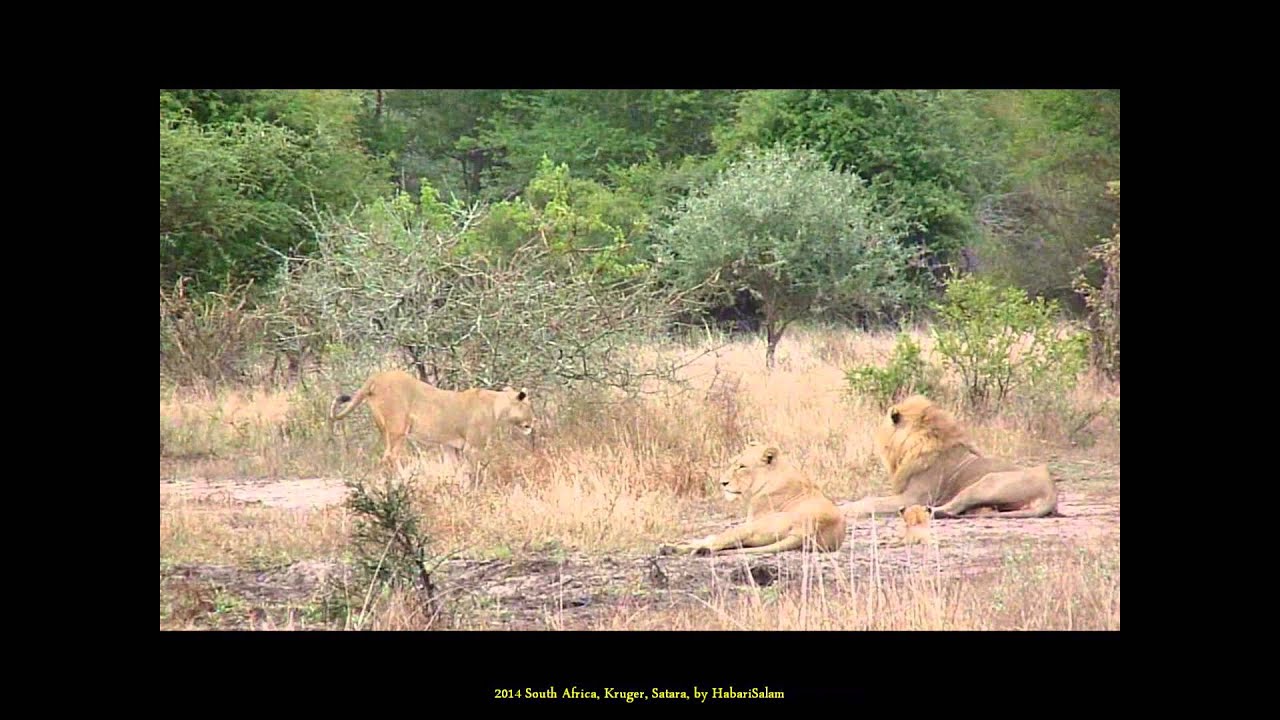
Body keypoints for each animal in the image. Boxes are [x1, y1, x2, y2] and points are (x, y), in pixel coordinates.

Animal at [328, 369, 534, 483]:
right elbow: (474, 470)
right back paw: (403, 481)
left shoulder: (450, 446)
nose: (533, 423)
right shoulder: (473, 447)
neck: (497, 405)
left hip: (384, 429)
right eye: (529, 406)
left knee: (386, 457)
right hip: (398, 428)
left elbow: (456, 470)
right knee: (390, 456)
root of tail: (376, 377)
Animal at [659, 442, 846, 556]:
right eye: (733, 463)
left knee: (716, 544)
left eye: (742, 467)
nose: (722, 483)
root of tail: (808, 530)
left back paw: (677, 548)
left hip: (749, 527)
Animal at [838, 395, 1063, 520]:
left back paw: (922, 511)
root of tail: (1052, 493)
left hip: (985, 483)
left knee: (953, 507)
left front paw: (845, 509)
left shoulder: (914, 496)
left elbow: (870, 501)